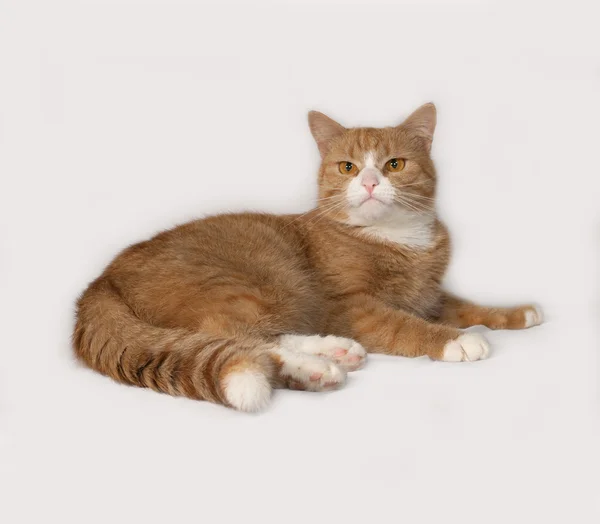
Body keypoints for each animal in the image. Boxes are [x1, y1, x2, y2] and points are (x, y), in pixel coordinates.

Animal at [71, 103, 544, 410]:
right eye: (348, 167)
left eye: (394, 164)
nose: (370, 183)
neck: (395, 238)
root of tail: (99, 282)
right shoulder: (350, 306)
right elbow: (403, 324)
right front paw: (456, 341)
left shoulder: (428, 296)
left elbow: (467, 306)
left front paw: (516, 313)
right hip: (256, 281)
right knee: (232, 335)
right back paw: (317, 365)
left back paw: (330, 353)